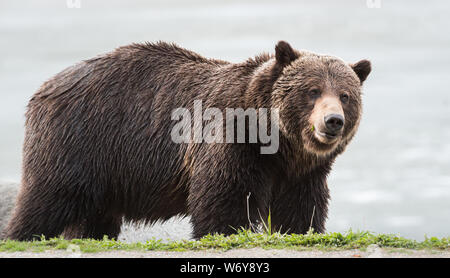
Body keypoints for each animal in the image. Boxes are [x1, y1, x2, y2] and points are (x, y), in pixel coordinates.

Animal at [2, 40, 370, 240]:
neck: (279, 146)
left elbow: (300, 210)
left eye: (345, 95)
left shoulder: (301, 174)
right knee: (46, 198)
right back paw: (21, 234)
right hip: (78, 139)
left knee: (92, 216)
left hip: (105, 172)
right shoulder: (230, 142)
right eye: (312, 91)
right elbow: (222, 203)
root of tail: (45, 87)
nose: (333, 121)